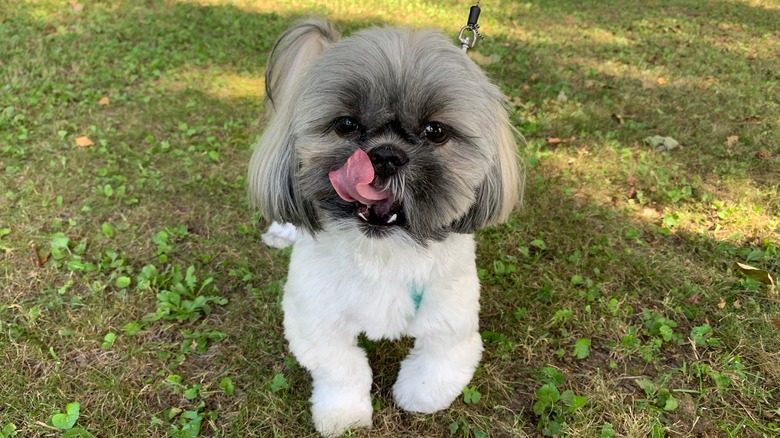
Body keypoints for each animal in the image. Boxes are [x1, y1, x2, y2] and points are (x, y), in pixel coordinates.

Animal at [247, 18, 520, 436]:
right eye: (346, 124)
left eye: (435, 131)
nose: (386, 156)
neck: (385, 253)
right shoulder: (313, 321)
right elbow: (343, 370)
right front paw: (344, 416)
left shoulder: (453, 322)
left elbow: (435, 369)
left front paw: (416, 397)